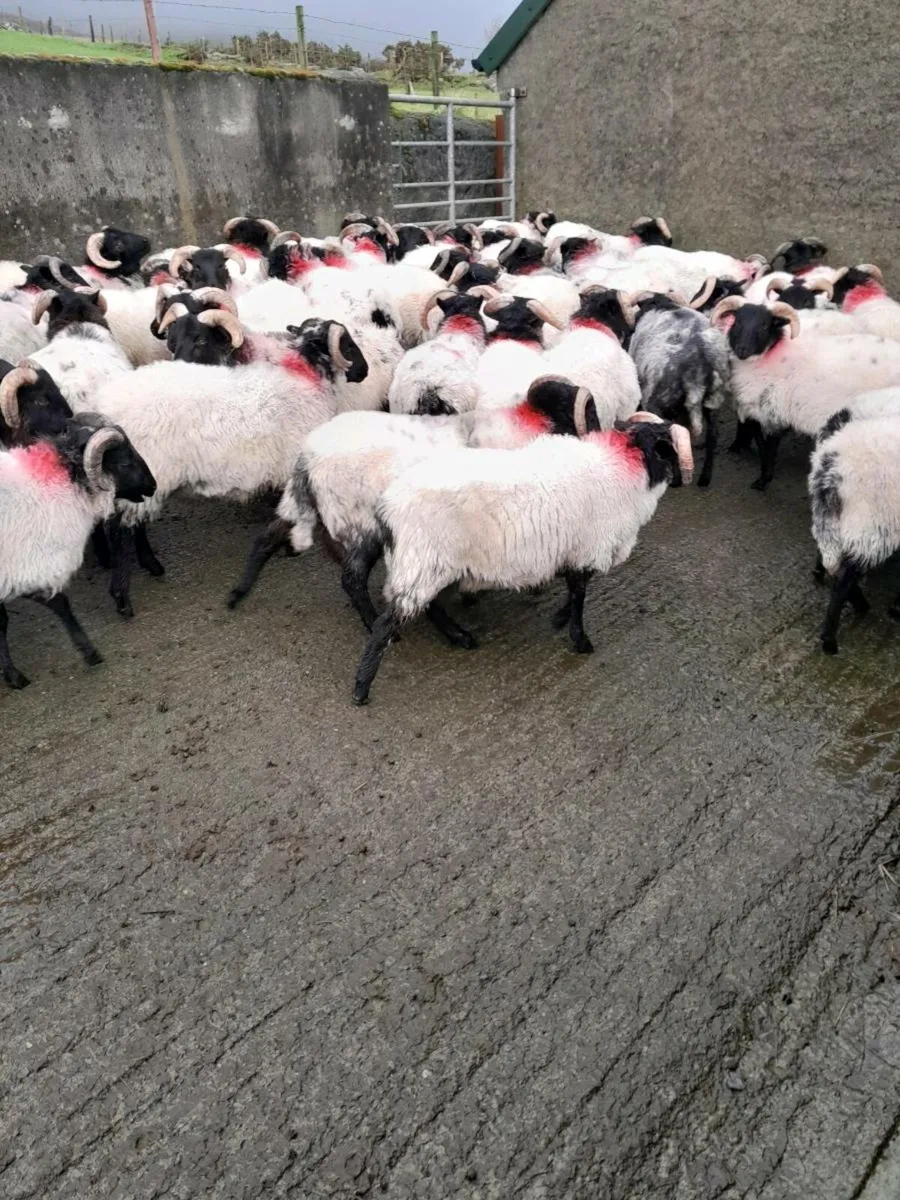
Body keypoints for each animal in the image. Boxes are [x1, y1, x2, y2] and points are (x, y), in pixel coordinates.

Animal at [228, 375, 600, 623]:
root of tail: (307, 458)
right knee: (352, 580)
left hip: (307, 506)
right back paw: (376, 624)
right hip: (363, 524)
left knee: (269, 535)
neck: (526, 427)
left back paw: (238, 592)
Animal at [352, 413, 694, 704]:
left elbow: (574, 592)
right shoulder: (586, 548)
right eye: (668, 449)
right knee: (387, 623)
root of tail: (387, 507)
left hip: (430, 562)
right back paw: (361, 688)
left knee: (431, 607)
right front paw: (580, 640)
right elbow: (579, 596)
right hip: (423, 560)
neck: (627, 464)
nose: (681, 480)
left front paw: (559, 619)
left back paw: (460, 637)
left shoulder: (574, 551)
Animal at [627, 291, 730, 487]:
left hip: (658, 401)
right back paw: (705, 478)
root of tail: (698, 365)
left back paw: (675, 479)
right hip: (715, 400)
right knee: (712, 437)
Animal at [711, 295, 900, 488]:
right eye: (738, 322)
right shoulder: (756, 411)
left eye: (764, 326)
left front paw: (763, 480)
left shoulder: (774, 414)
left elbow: (769, 450)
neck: (768, 359)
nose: (742, 350)